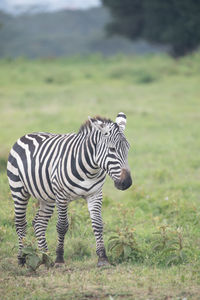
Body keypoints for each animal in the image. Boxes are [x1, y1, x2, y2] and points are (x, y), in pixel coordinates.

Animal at [7, 112, 133, 268]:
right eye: (112, 149)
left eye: (128, 148)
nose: (126, 183)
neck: (91, 169)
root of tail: (27, 135)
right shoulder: (61, 195)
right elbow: (62, 226)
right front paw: (59, 258)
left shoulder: (95, 194)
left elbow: (98, 224)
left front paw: (103, 259)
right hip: (18, 189)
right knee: (20, 224)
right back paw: (22, 258)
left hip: (47, 196)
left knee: (39, 223)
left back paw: (45, 257)